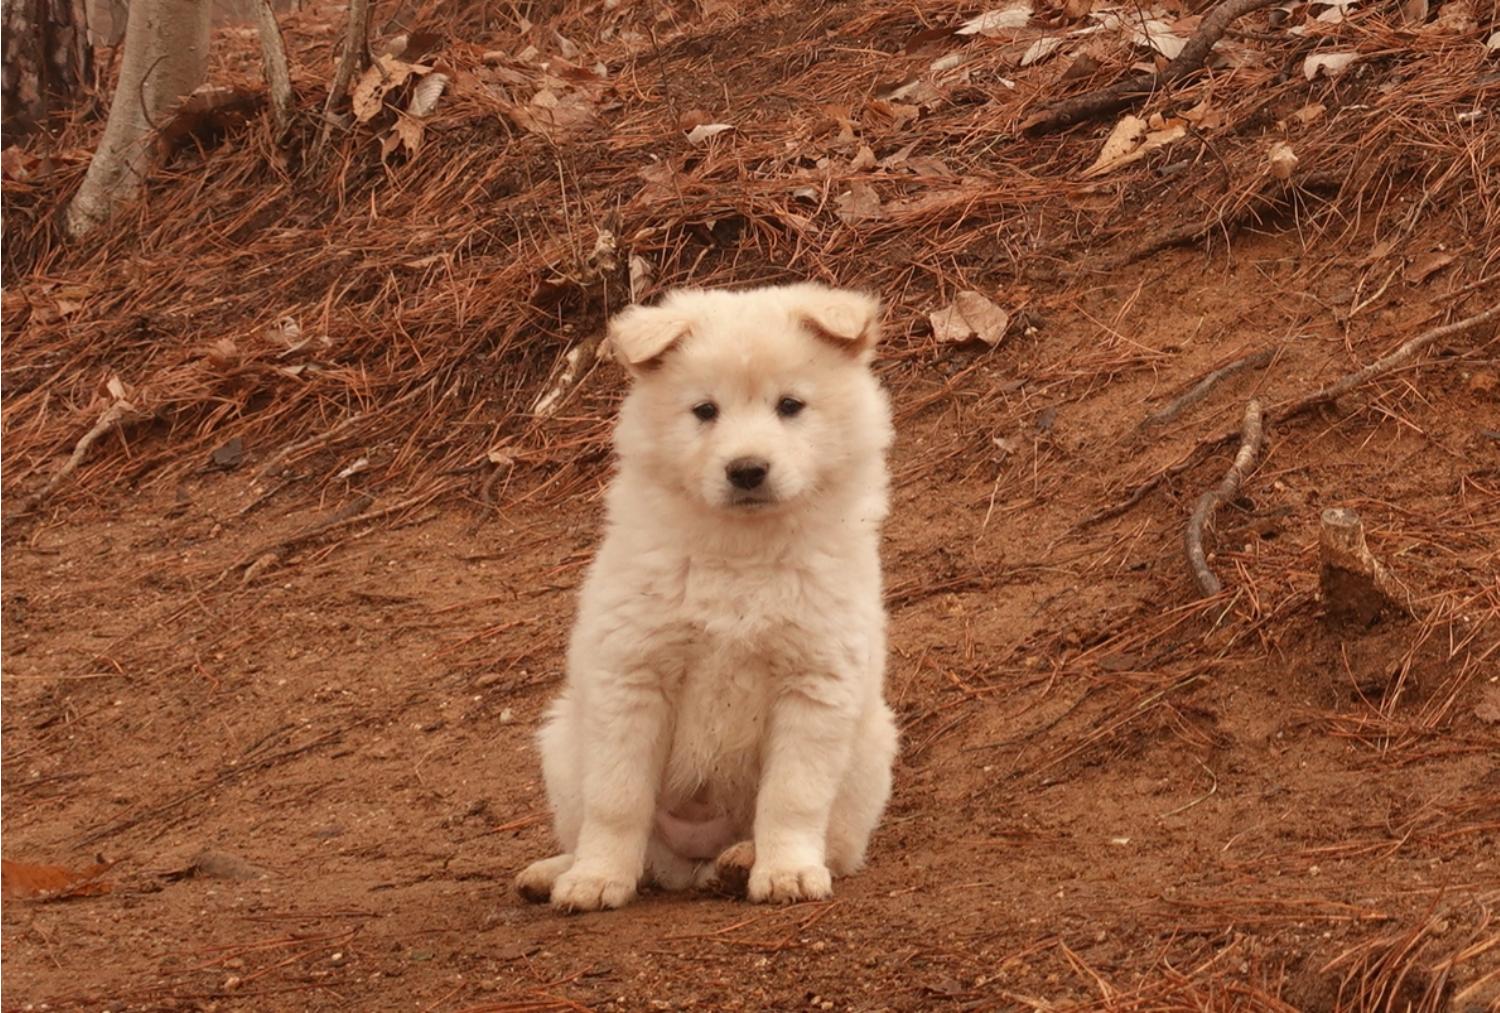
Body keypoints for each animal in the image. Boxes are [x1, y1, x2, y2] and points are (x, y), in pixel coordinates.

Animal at [516, 280, 894, 912]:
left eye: (790, 406)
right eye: (705, 411)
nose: (747, 470)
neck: (739, 553)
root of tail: (691, 869)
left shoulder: (815, 681)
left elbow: (792, 796)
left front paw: (787, 872)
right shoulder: (633, 676)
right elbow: (617, 799)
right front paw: (596, 879)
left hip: (870, 749)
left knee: (837, 845)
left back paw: (741, 861)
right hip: (563, 739)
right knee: (622, 841)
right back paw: (557, 871)